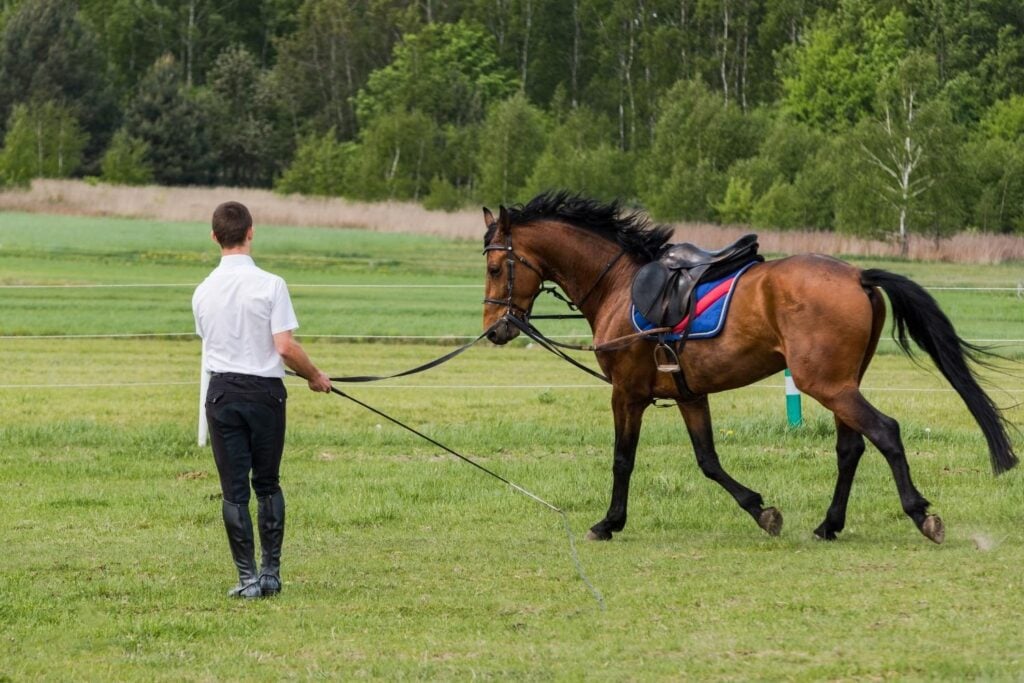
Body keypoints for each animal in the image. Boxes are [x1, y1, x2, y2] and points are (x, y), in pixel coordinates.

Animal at [480, 191, 1018, 544]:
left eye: (493, 267)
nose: (494, 330)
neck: (619, 285)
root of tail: (857, 274)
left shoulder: (626, 394)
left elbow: (623, 459)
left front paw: (608, 523)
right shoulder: (690, 395)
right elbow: (709, 461)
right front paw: (761, 511)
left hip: (826, 385)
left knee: (885, 432)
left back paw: (920, 514)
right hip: (840, 384)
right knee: (851, 448)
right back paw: (829, 525)